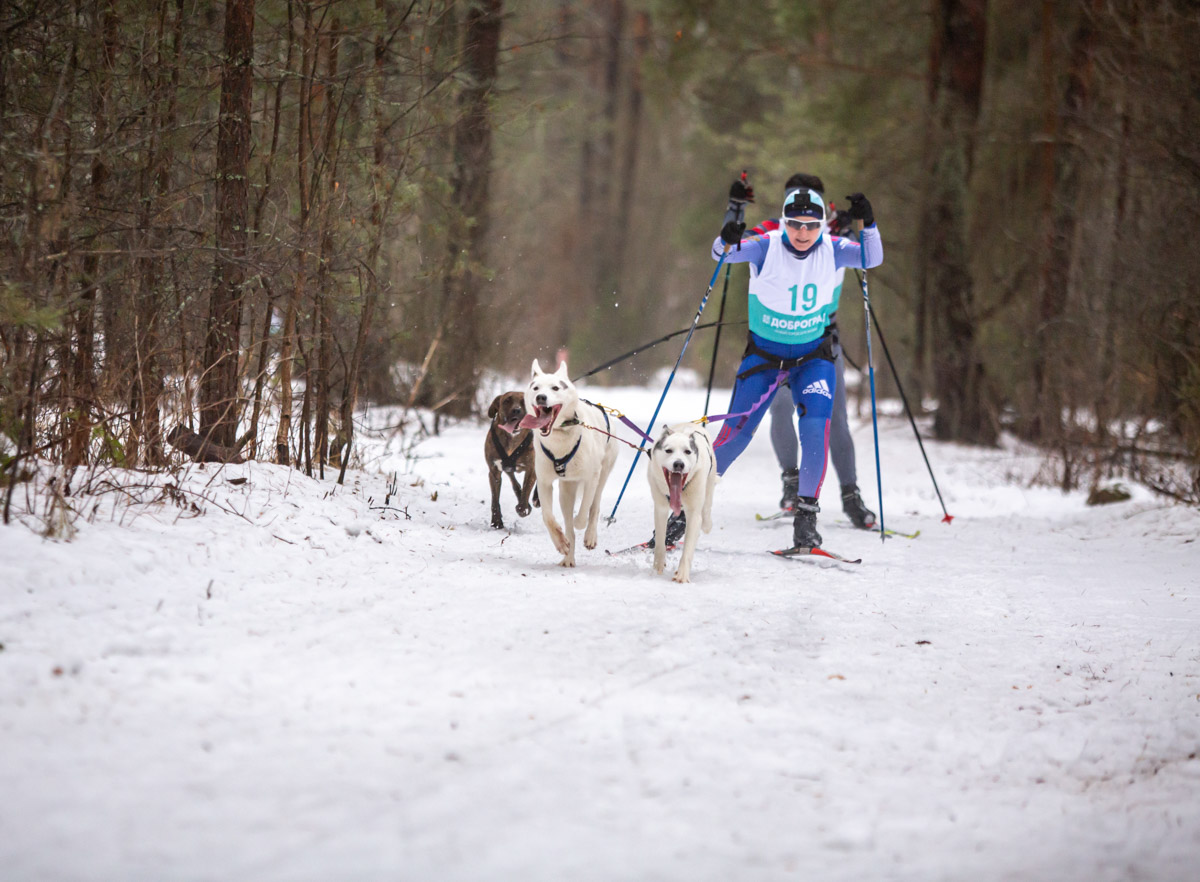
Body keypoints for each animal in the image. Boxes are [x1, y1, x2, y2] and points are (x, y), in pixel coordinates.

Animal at [484, 393, 537, 530]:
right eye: (507, 401)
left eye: (524, 402)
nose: (516, 410)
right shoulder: (494, 471)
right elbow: (495, 500)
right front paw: (496, 521)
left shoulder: (531, 468)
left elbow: (527, 490)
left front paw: (523, 509)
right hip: (506, 468)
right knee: (514, 482)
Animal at [520, 362, 619, 568]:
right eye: (536, 388)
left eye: (555, 388)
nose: (541, 397)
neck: (559, 438)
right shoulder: (544, 482)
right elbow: (548, 517)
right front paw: (560, 542)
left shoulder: (591, 477)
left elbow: (584, 512)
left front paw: (579, 523)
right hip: (566, 490)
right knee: (568, 523)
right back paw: (568, 555)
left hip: (602, 475)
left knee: (594, 506)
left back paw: (589, 535)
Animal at [648, 424, 710, 583]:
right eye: (668, 450)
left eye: (687, 451)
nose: (679, 464)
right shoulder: (660, 509)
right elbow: (660, 541)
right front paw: (657, 567)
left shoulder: (694, 515)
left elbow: (688, 548)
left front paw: (682, 574)